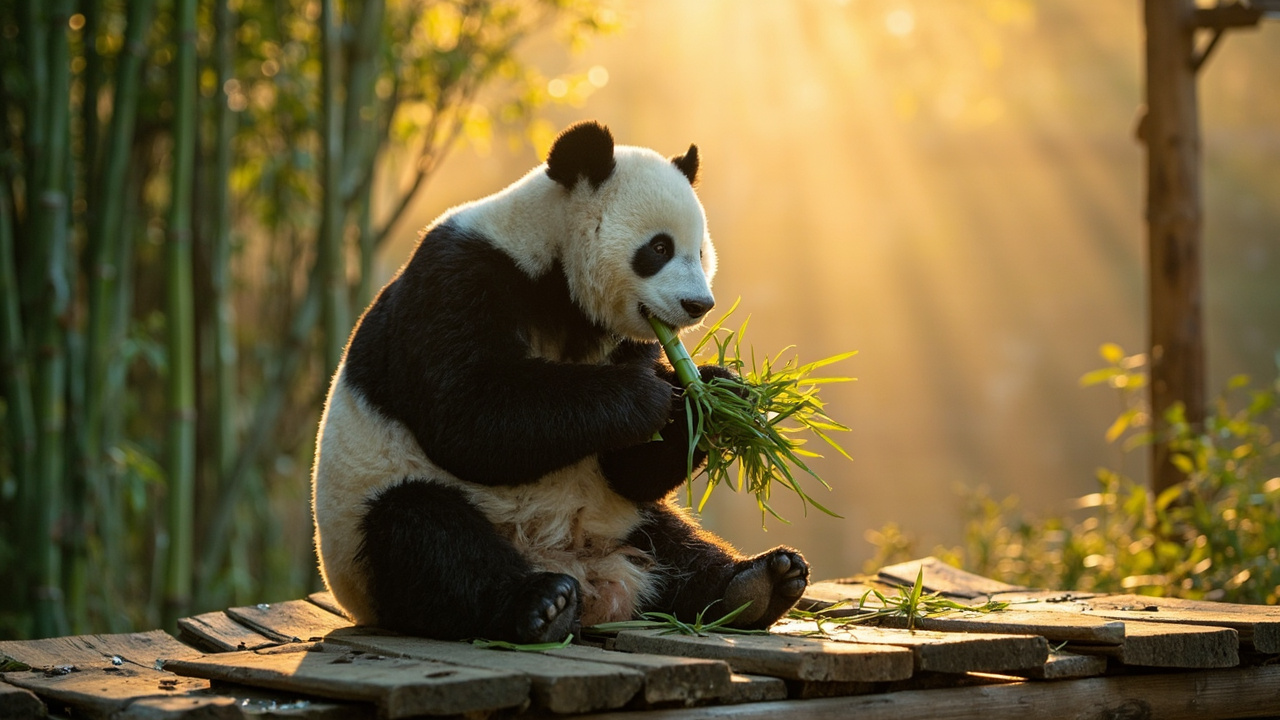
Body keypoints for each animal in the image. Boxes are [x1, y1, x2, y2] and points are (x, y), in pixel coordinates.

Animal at [311, 120, 809, 644]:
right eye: (659, 248)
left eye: (699, 251)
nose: (698, 305)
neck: (557, 279)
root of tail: (585, 575)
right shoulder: (459, 277)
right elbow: (469, 415)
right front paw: (650, 395)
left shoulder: (625, 340)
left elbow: (631, 469)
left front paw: (720, 397)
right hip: (369, 532)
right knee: (425, 538)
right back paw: (541, 603)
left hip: (620, 519)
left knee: (674, 545)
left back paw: (757, 583)